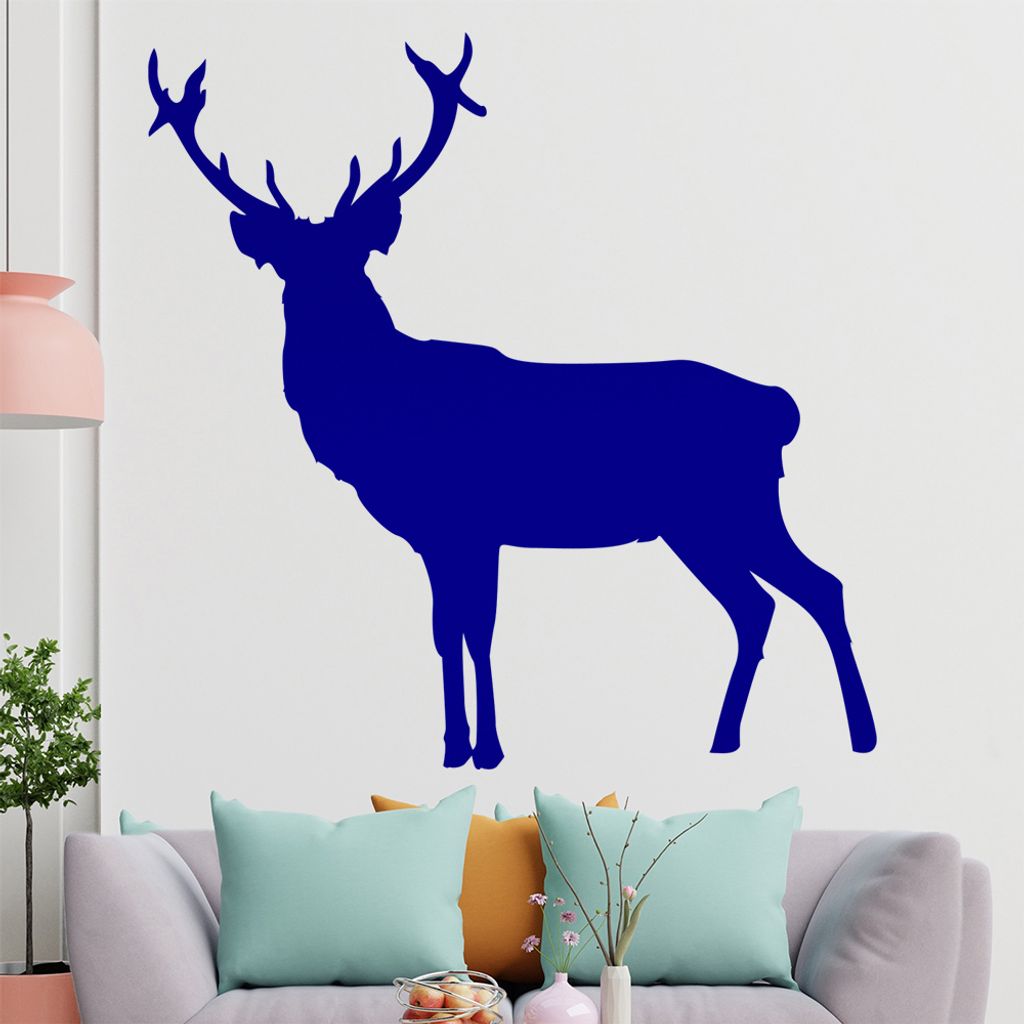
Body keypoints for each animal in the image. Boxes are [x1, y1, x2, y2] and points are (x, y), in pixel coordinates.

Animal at [148, 37, 877, 769]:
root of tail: (779, 407)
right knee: (761, 606)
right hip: (698, 523)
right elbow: (446, 630)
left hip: (732, 503)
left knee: (819, 587)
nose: (322, 315)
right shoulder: (437, 533)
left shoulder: (472, 520)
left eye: (355, 259)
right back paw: (727, 740)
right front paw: (453, 749)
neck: (381, 415)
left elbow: (477, 628)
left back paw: (859, 736)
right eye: (287, 265)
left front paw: (488, 749)